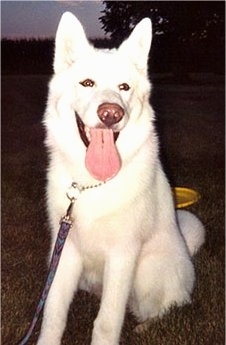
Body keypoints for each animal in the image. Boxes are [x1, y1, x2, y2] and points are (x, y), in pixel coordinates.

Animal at [37, 11, 205, 344]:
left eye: (124, 87)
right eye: (87, 83)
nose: (111, 113)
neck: (92, 185)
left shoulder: (122, 255)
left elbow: (106, 322)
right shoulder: (64, 253)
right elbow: (53, 313)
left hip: (146, 274)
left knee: (172, 306)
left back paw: (147, 325)